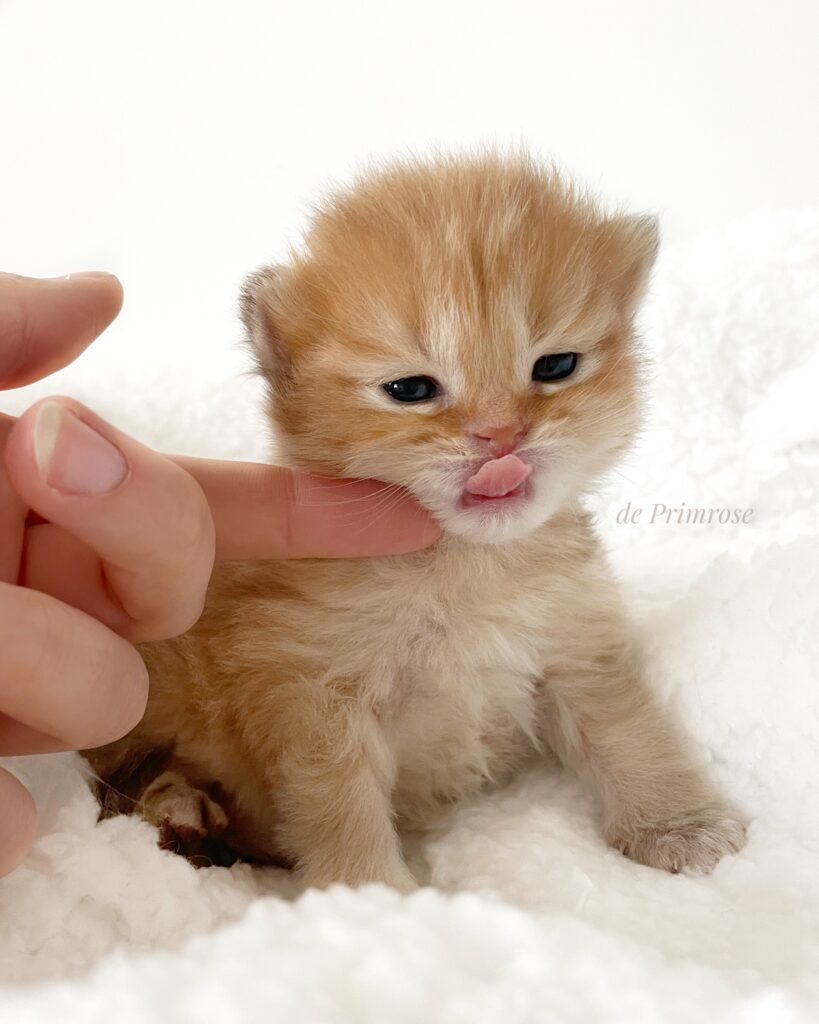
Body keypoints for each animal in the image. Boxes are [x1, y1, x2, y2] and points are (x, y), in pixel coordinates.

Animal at [84, 151, 749, 888]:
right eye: (410, 390)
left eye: (555, 366)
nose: (500, 435)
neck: (461, 566)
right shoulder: (315, 701)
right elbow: (340, 808)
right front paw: (370, 895)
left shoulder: (575, 644)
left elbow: (627, 730)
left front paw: (679, 826)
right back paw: (181, 813)